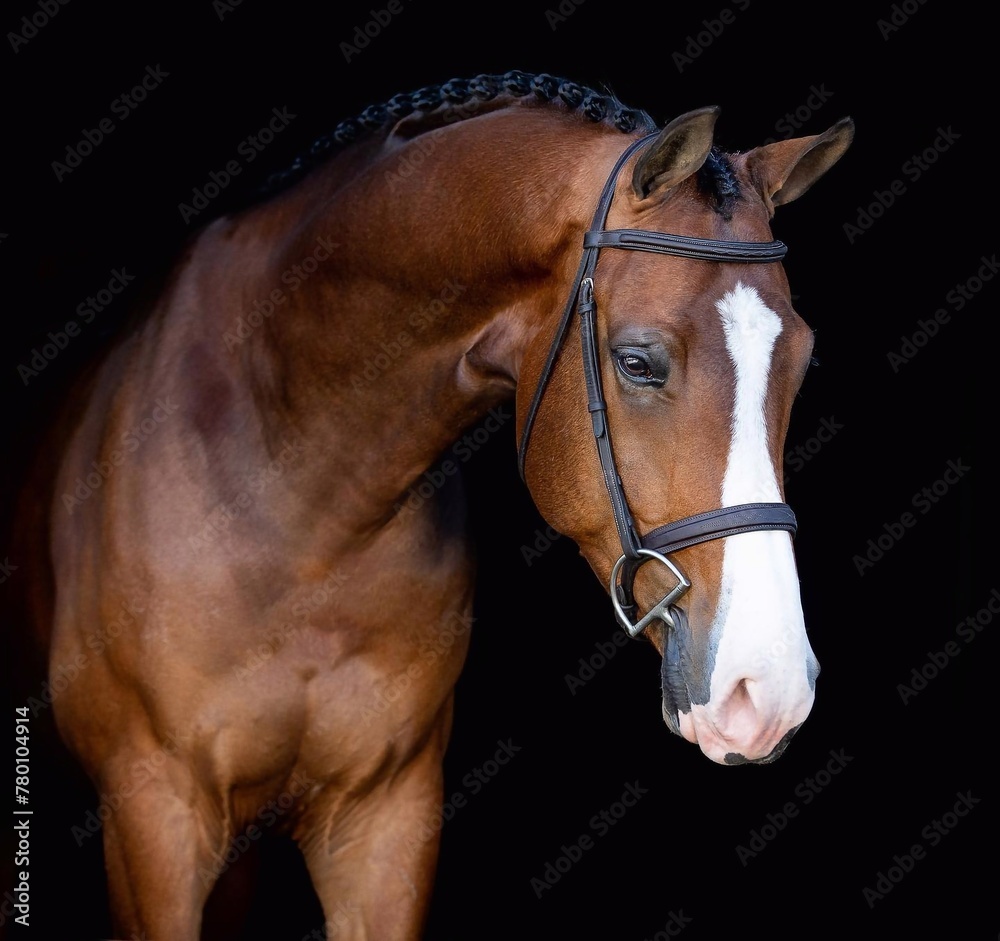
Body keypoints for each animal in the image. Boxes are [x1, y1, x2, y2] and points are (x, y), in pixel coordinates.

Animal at [16, 71, 853, 939]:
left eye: (801, 361)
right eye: (636, 362)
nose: (767, 691)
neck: (294, 491)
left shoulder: (386, 816)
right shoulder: (154, 818)